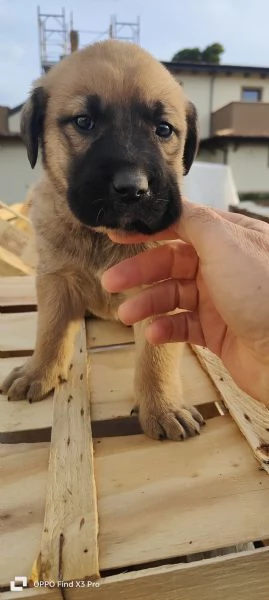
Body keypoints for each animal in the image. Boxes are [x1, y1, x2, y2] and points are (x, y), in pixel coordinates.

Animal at [2, 38, 203, 440]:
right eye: (84, 122)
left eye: (163, 129)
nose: (133, 189)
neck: (102, 238)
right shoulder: (56, 279)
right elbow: (49, 330)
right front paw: (38, 370)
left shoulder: (158, 290)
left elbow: (156, 356)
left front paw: (163, 407)